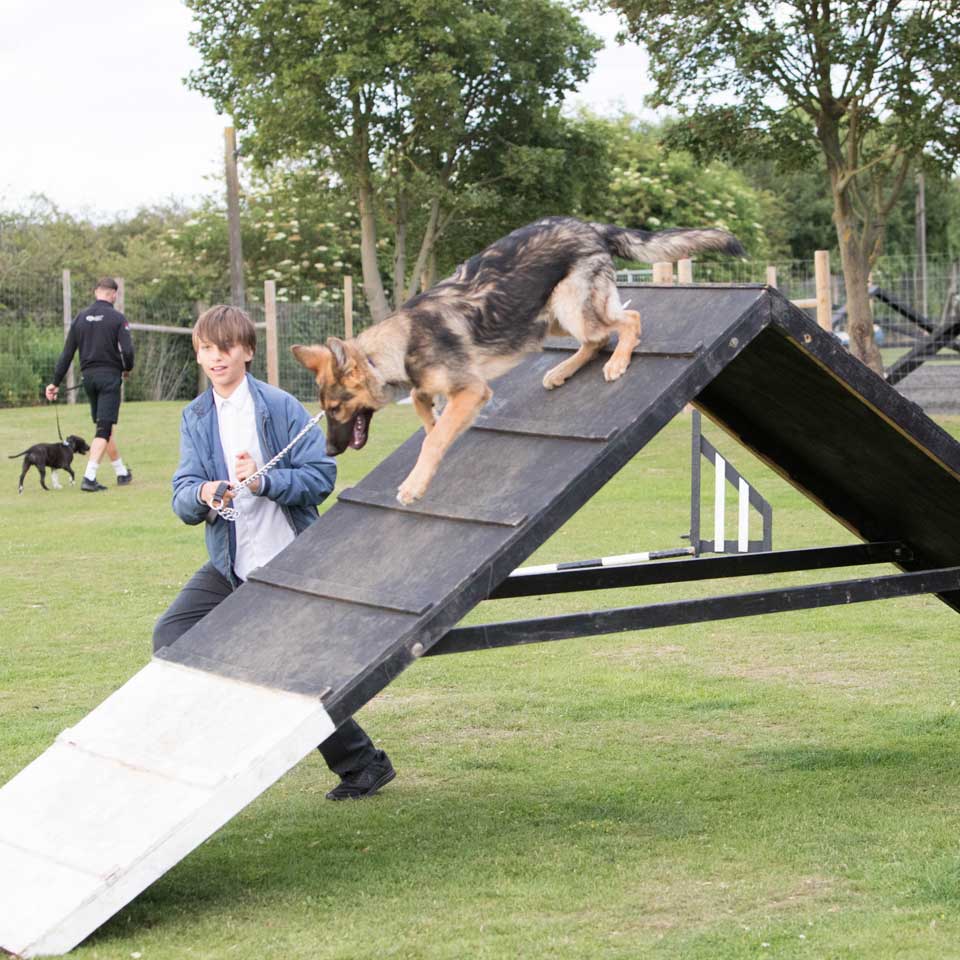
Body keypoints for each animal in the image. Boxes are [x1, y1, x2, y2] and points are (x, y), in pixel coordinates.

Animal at [292, 216, 744, 502]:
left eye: (337, 408)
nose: (329, 451)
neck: (395, 347)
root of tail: (586, 224)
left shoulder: (472, 389)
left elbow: (434, 437)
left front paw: (415, 483)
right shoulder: (435, 387)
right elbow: (426, 412)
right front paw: (435, 429)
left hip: (568, 306)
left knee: (625, 322)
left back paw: (616, 362)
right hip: (546, 319)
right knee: (596, 339)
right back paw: (560, 371)